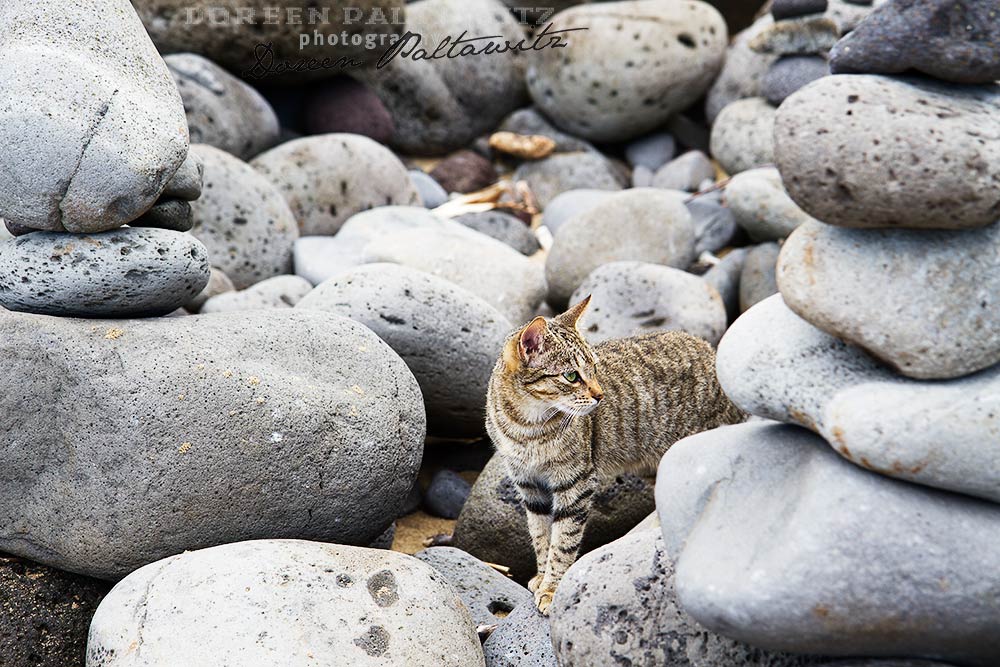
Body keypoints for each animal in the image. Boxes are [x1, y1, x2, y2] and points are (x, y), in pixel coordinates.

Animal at [484, 298, 744, 616]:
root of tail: (712, 352)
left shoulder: (577, 482)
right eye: (571, 376)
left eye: (594, 369)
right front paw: (542, 576)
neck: (527, 426)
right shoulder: (528, 484)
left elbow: (564, 540)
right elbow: (541, 535)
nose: (600, 395)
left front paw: (553, 587)